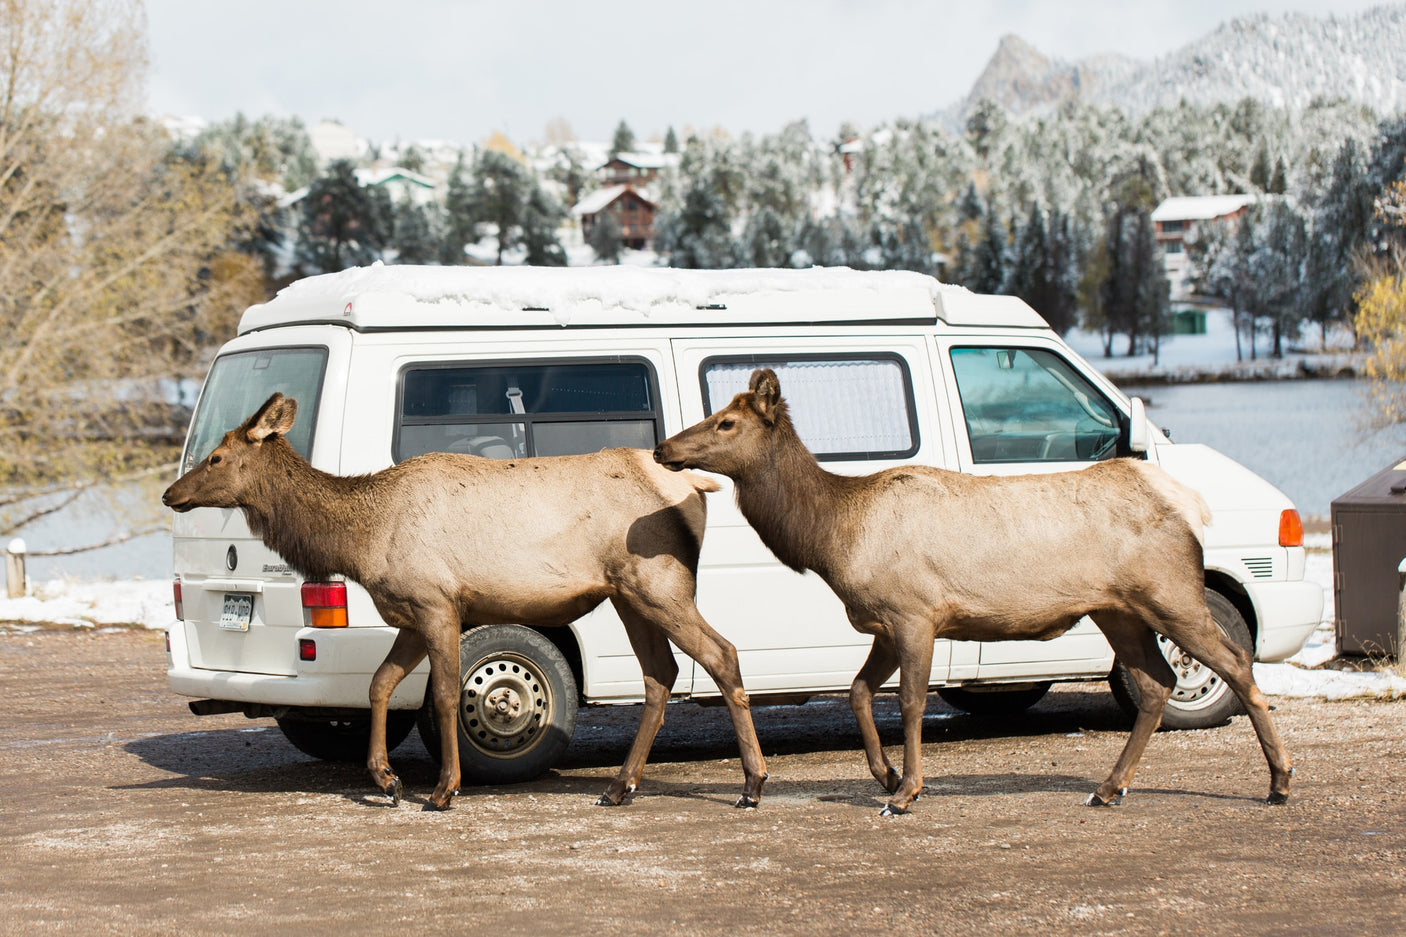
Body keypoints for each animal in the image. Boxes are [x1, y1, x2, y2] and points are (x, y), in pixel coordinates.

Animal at [162, 392, 769, 812]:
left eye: (215, 457)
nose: (170, 494)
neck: (364, 540)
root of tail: (696, 487)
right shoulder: (409, 614)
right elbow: (380, 683)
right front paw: (385, 779)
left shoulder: (437, 603)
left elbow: (448, 695)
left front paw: (443, 789)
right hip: (628, 594)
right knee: (660, 672)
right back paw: (621, 786)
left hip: (660, 583)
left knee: (722, 653)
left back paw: (752, 784)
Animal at [654, 368, 1293, 816]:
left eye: (726, 423)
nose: (663, 448)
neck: (836, 536)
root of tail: (1190, 505)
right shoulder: (884, 622)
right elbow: (859, 692)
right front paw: (886, 775)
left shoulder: (915, 612)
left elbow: (910, 702)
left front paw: (905, 792)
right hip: (1119, 610)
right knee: (1157, 682)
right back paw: (1109, 788)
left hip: (1171, 592)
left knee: (1236, 661)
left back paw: (1281, 781)